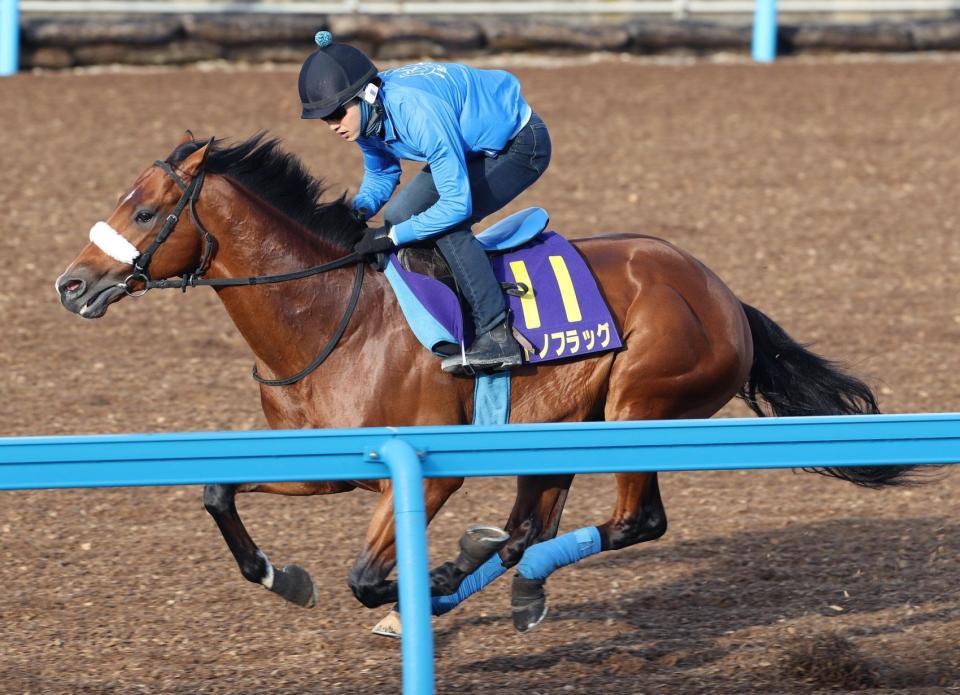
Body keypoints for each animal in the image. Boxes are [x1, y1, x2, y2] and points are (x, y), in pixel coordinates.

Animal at [54, 135, 916, 636]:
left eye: (146, 210)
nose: (71, 284)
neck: (330, 312)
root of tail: (724, 294)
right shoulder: (320, 457)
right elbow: (217, 492)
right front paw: (282, 575)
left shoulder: (430, 467)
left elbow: (366, 577)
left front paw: (412, 588)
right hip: (565, 424)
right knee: (532, 526)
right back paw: (501, 573)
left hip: (640, 404)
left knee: (633, 521)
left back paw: (472, 574)